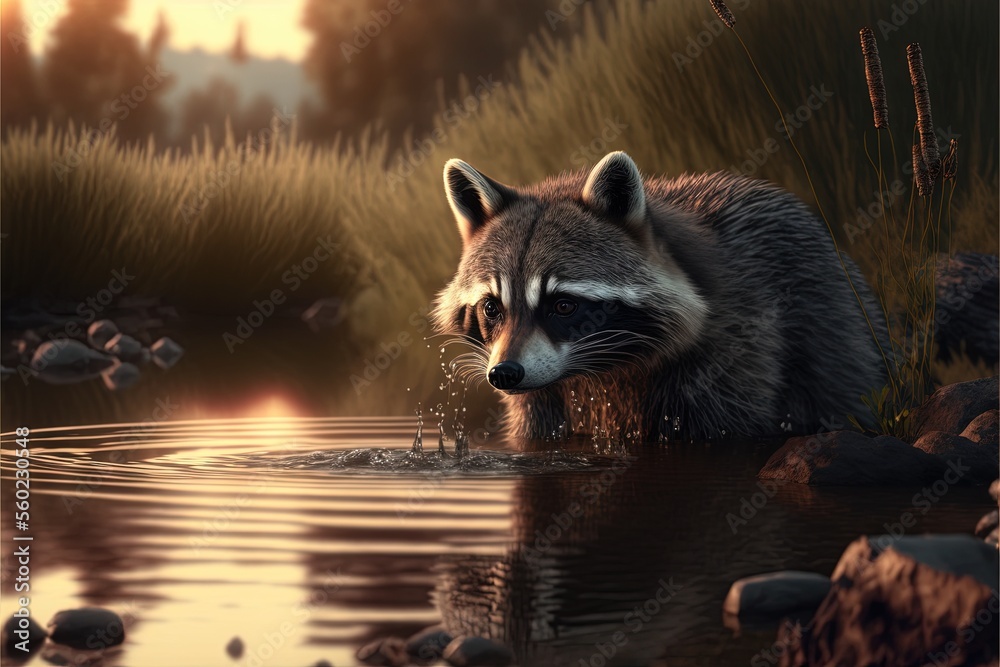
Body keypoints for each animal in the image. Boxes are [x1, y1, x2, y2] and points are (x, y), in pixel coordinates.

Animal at [431, 151, 889, 441]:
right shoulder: (542, 394)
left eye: (563, 305)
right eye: (492, 308)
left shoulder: (736, 346)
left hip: (833, 321)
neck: (600, 368)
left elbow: (725, 425)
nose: (504, 374)